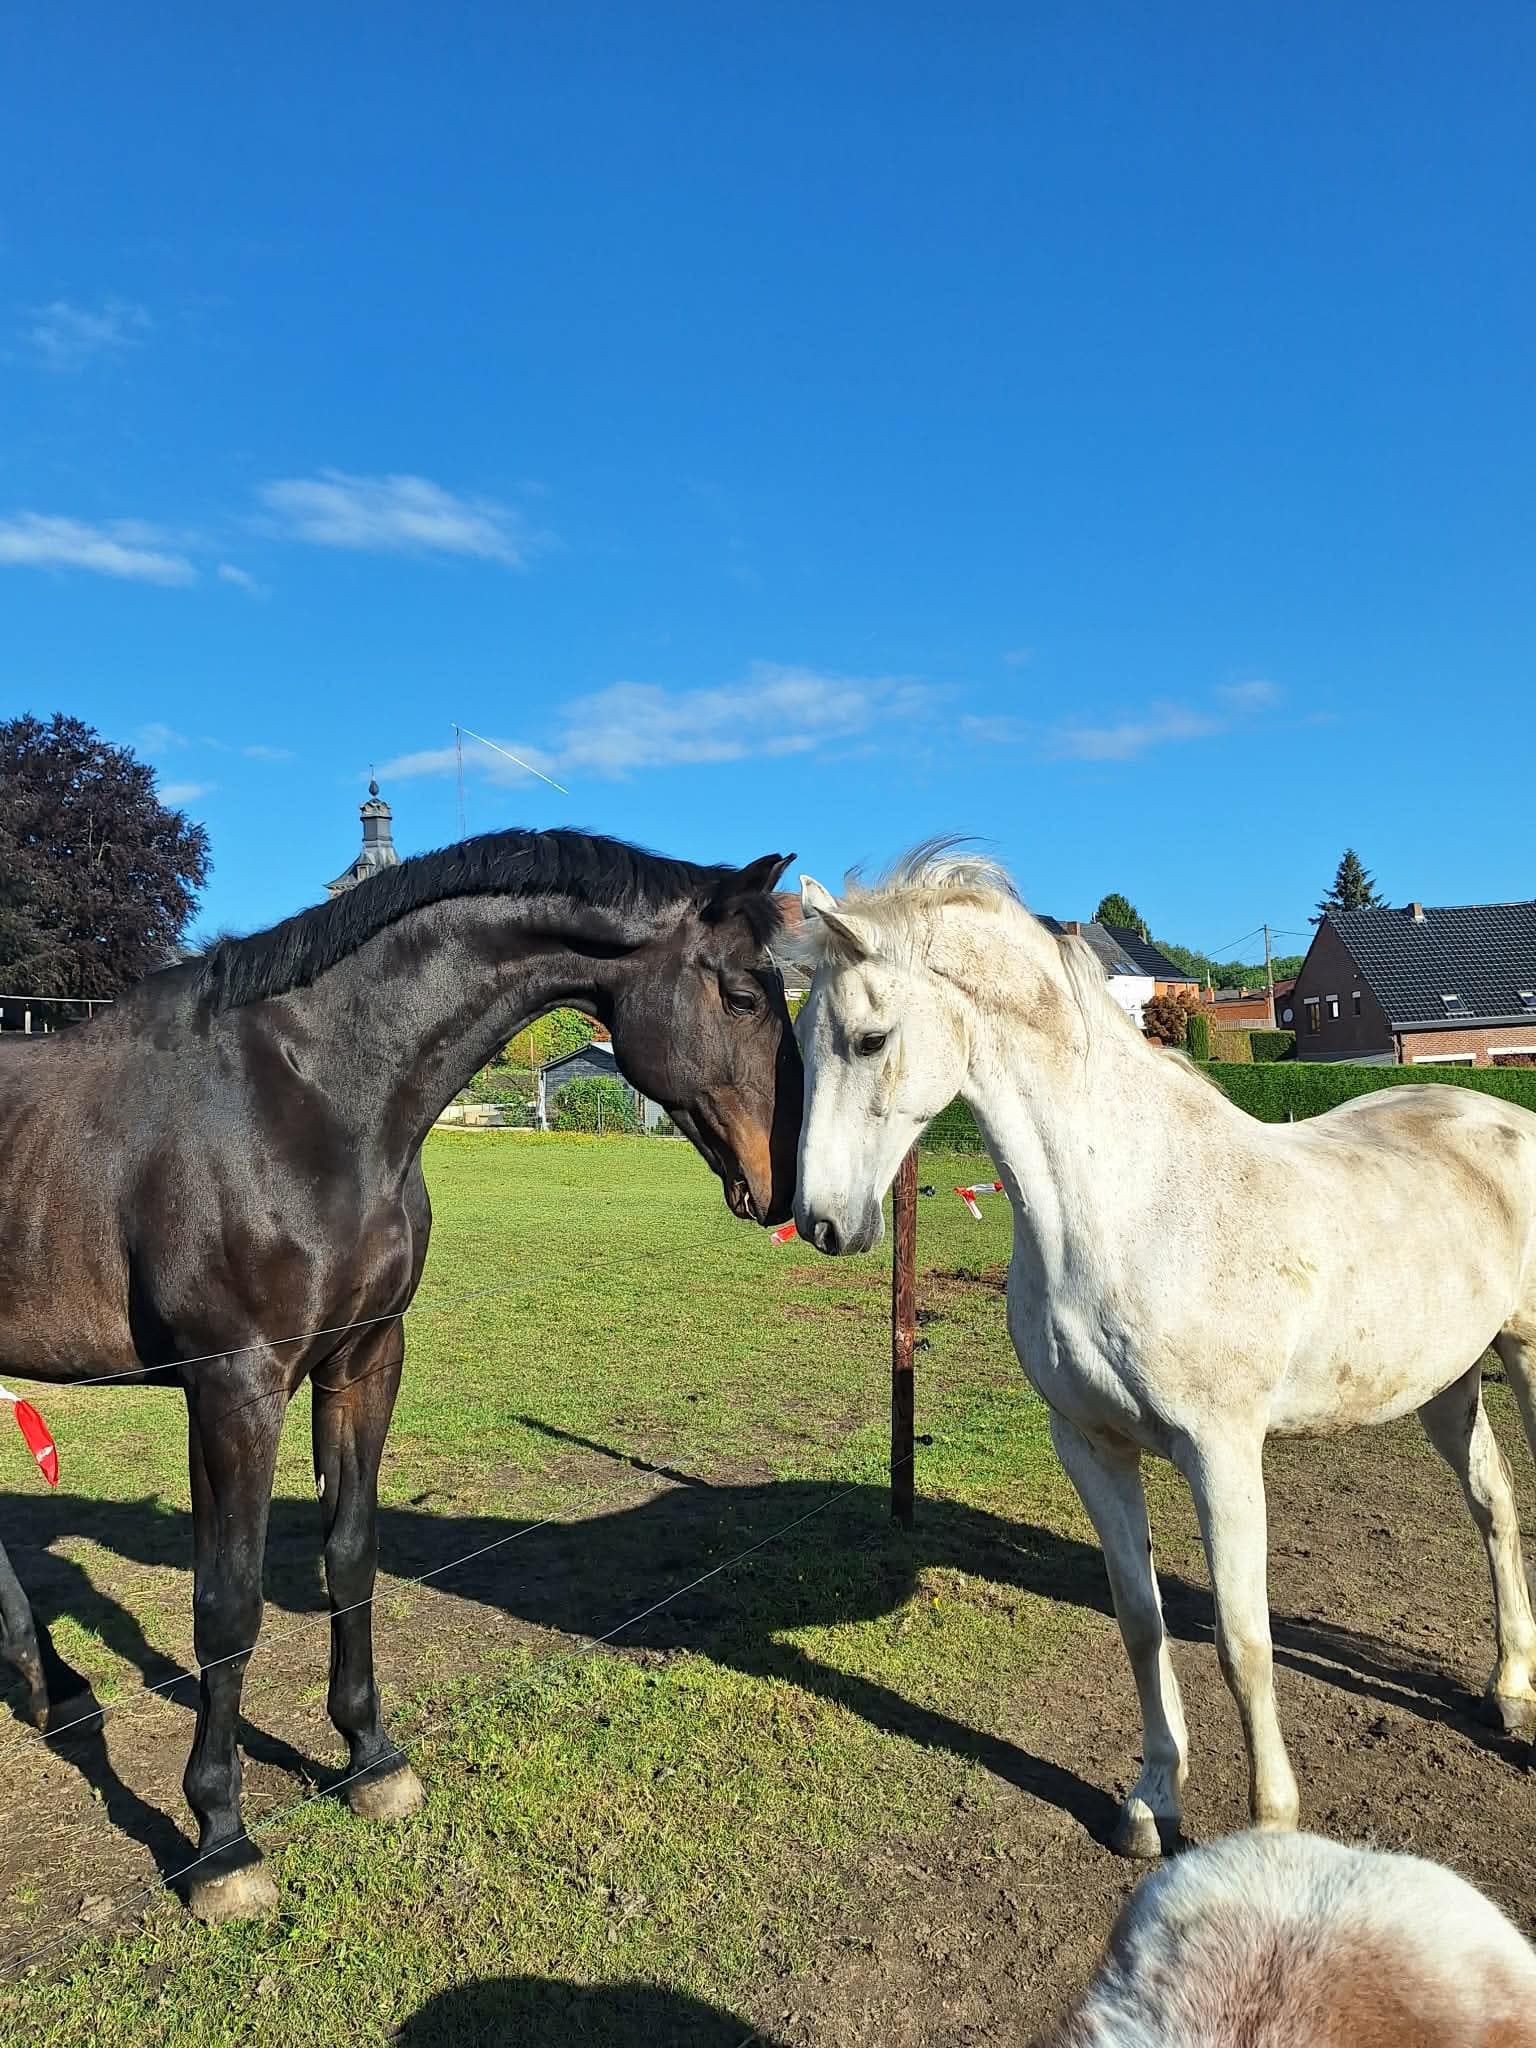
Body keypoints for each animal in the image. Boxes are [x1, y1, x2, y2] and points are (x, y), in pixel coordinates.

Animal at [0, 827, 801, 1921]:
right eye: (746, 995)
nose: (786, 1184)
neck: (312, 1099)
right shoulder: (233, 1387)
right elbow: (228, 1604)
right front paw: (220, 1842)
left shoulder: (366, 1359)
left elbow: (351, 1553)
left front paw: (371, 1758)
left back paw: (54, 1684)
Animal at [788, 846, 1536, 1859]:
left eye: (869, 1041)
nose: (823, 1223)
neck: (1129, 1205)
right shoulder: (1091, 1446)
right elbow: (1141, 1621)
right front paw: (1152, 1802)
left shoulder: (1222, 1452)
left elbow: (1242, 1642)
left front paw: (1270, 1822)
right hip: (1446, 1379)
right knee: (1493, 1504)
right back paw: (1509, 1690)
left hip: (1524, 1353)